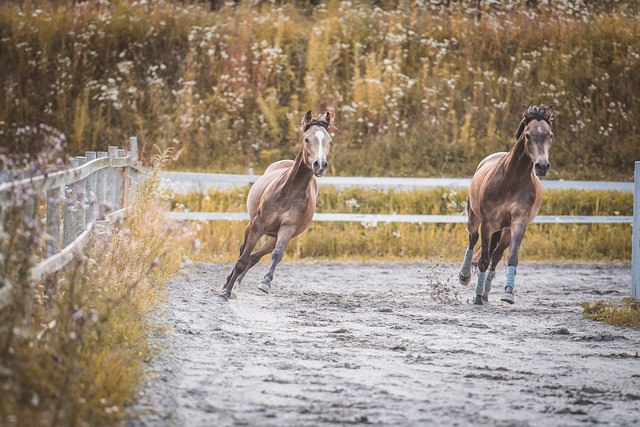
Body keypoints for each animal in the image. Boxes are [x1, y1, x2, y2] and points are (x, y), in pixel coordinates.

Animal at [220, 112, 336, 302]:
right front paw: (225, 293)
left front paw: (265, 283)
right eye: (307, 139)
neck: (289, 191)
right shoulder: (258, 225)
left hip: (273, 236)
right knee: (243, 252)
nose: (320, 165)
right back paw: (227, 285)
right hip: (251, 226)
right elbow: (242, 259)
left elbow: (277, 254)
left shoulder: (288, 228)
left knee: (255, 257)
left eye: (329, 141)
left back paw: (236, 285)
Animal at [456, 105, 556, 306]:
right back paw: (465, 277)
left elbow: (511, 257)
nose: (542, 166)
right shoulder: (488, 222)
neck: (512, 180)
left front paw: (508, 293)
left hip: (504, 230)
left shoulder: (518, 223)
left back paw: (486, 294)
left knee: (496, 256)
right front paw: (477, 297)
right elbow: (483, 259)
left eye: (550, 135)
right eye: (528, 135)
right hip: (475, 218)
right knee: (473, 241)